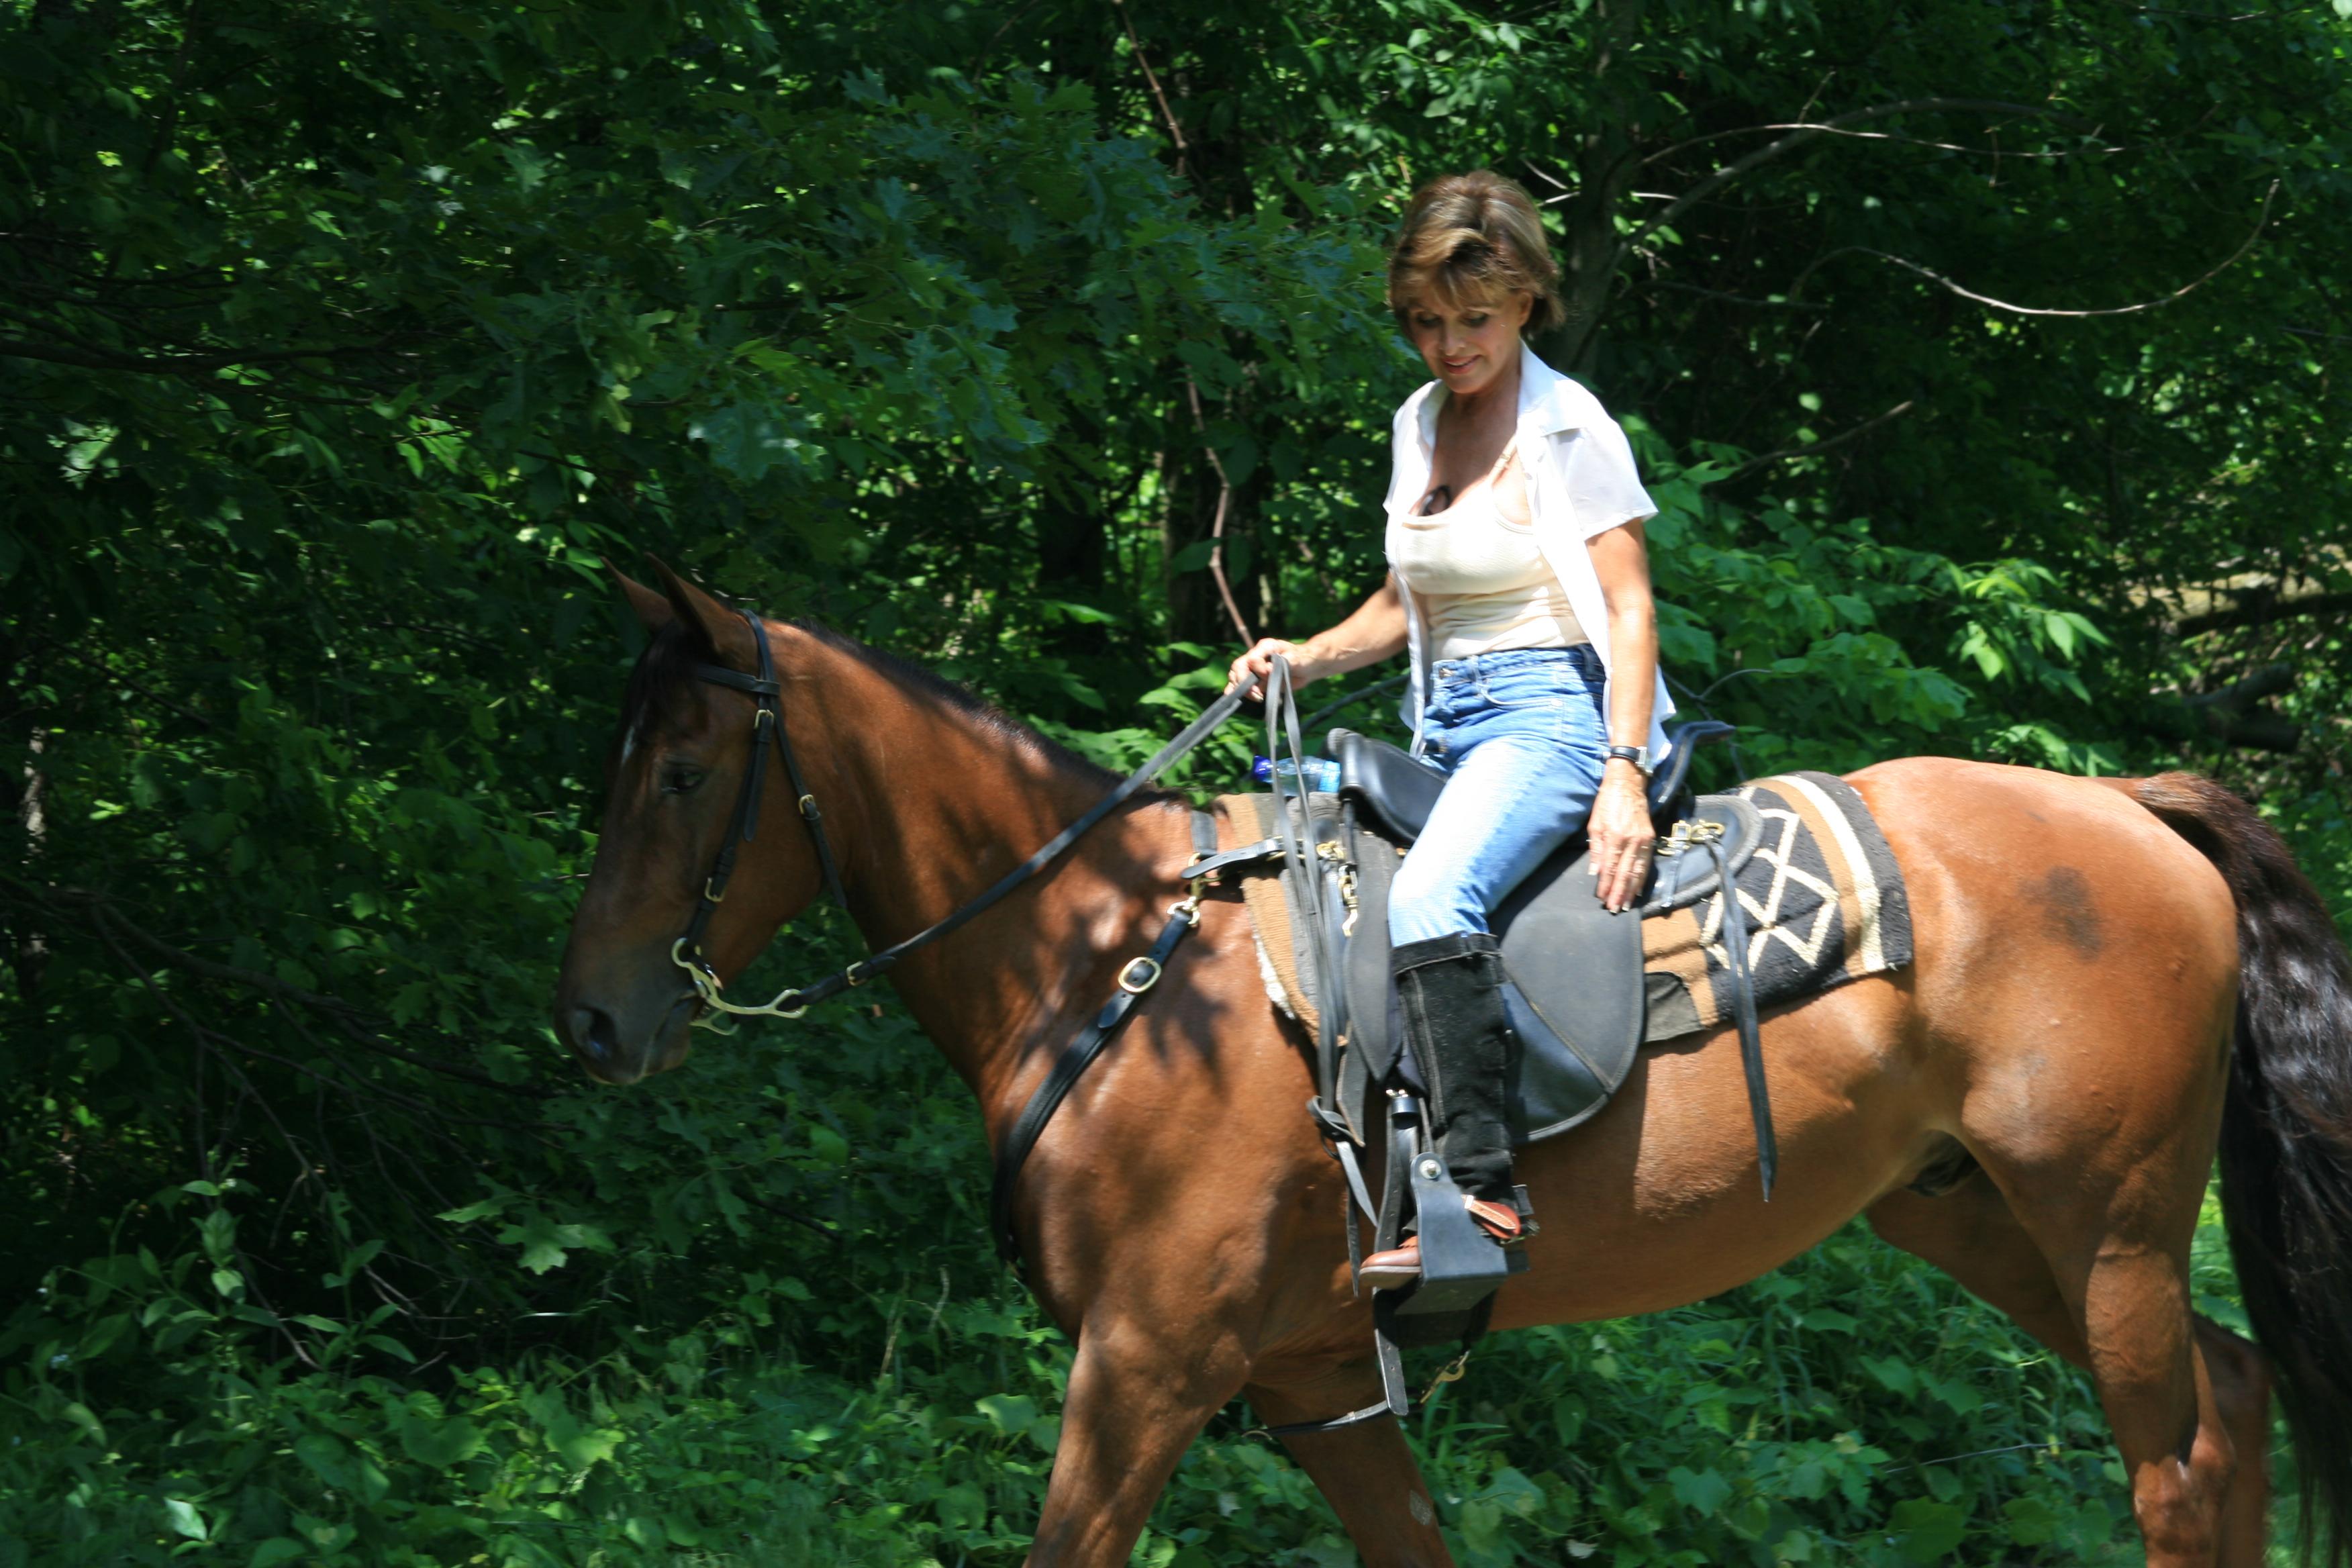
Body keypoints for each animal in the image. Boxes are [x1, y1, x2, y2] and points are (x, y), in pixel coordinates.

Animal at [554, 562, 2352, 1568]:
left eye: (688, 770)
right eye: (619, 758)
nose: (590, 1021)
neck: (1103, 957)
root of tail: (2124, 802)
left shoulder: (1143, 1366)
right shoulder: (1312, 1385)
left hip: (2104, 1221)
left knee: (2180, 1460)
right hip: (1971, 1210)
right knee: (2236, 1397)